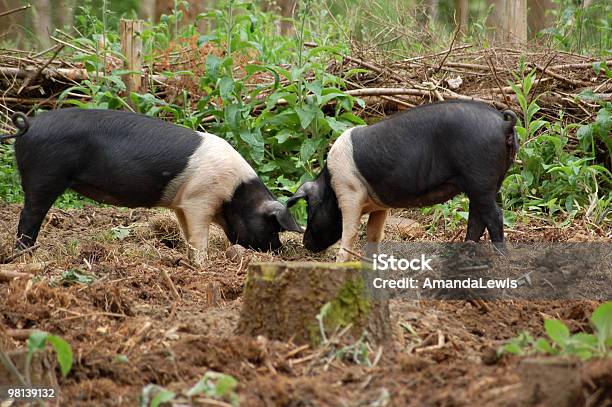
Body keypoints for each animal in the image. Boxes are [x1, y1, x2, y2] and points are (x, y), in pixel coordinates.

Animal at [286, 100, 516, 262]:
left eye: (310, 209)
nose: (305, 243)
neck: (329, 186)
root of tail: (504, 123)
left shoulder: (350, 193)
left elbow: (350, 232)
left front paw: (340, 262)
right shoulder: (380, 206)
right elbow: (373, 234)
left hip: (479, 179)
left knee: (494, 217)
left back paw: (502, 259)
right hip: (489, 182)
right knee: (477, 219)